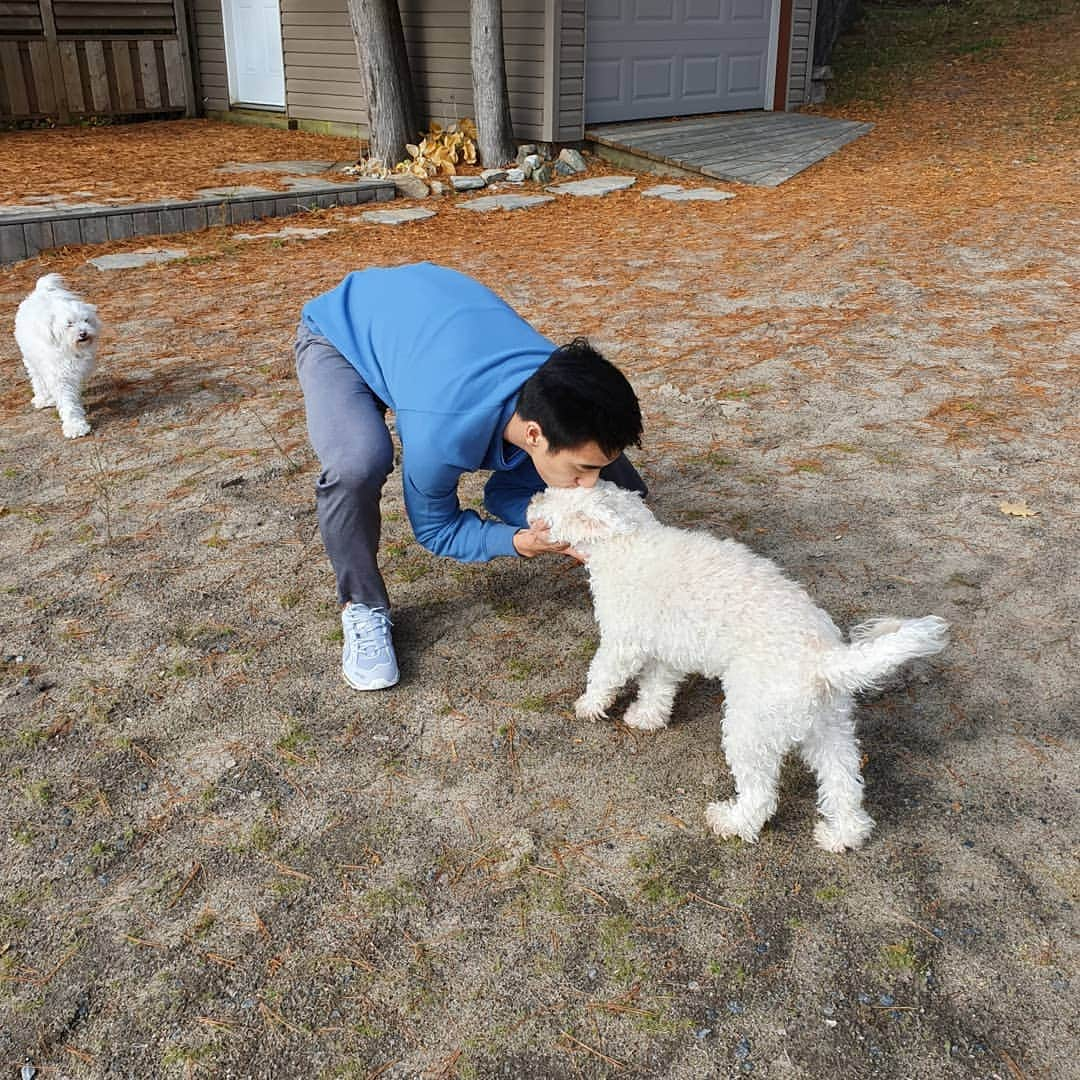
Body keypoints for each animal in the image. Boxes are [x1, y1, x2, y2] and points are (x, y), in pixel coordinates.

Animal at [15, 272, 100, 436]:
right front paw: (75, 426)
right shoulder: (60, 378)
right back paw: (44, 399)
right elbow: (68, 403)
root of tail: (41, 292)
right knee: (38, 380)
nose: (83, 333)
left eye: (86, 320)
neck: (68, 349)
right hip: (31, 361)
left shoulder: (75, 374)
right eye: (69, 324)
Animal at [527, 481, 950, 851]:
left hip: (750, 728)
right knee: (844, 785)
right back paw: (841, 836)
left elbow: (604, 674)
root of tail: (823, 660)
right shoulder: (666, 651)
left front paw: (589, 706)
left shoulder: (622, 642)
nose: (532, 499)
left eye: (553, 496)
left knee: (762, 794)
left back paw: (732, 822)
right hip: (828, 728)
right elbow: (657, 687)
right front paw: (647, 717)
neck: (626, 541)